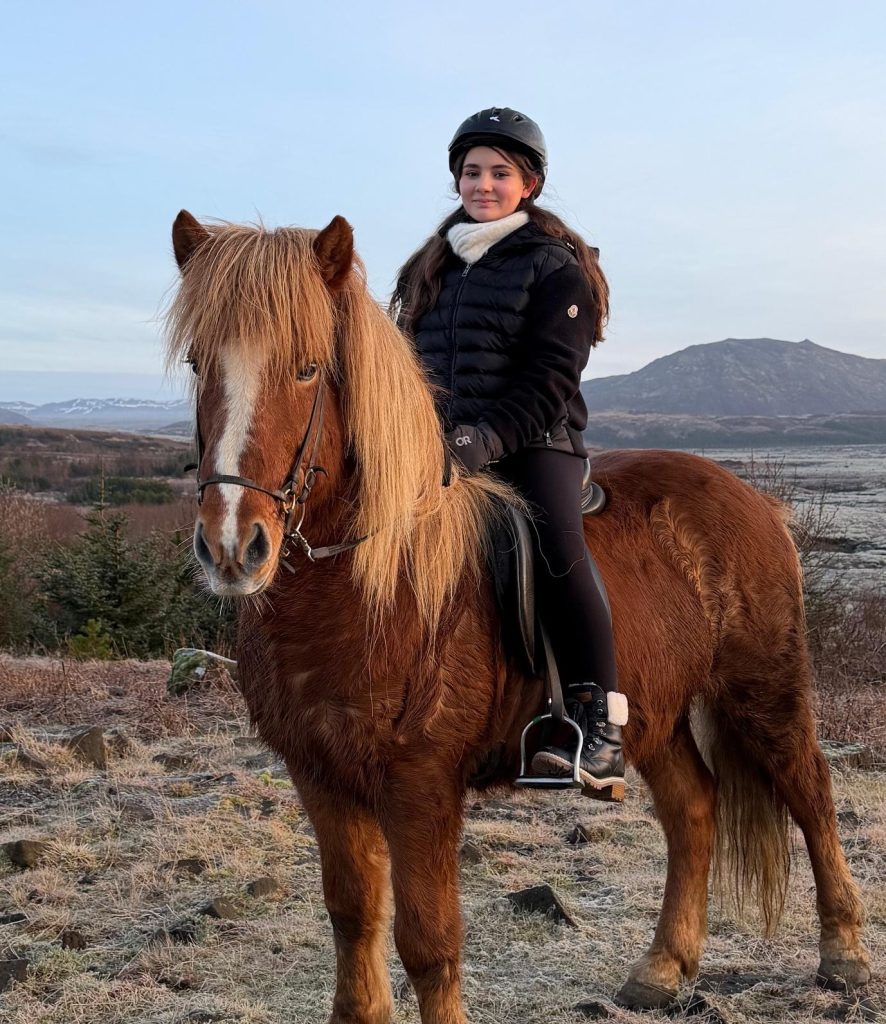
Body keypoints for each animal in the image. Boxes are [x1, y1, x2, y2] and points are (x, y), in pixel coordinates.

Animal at [164, 209, 871, 1023]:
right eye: (197, 364)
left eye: (308, 368)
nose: (231, 545)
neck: (372, 591)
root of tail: (755, 498)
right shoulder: (321, 775)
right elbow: (353, 915)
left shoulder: (421, 784)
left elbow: (428, 941)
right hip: (656, 709)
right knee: (695, 811)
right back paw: (662, 969)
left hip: (763, 691)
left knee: (812, 794)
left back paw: (844, 954)